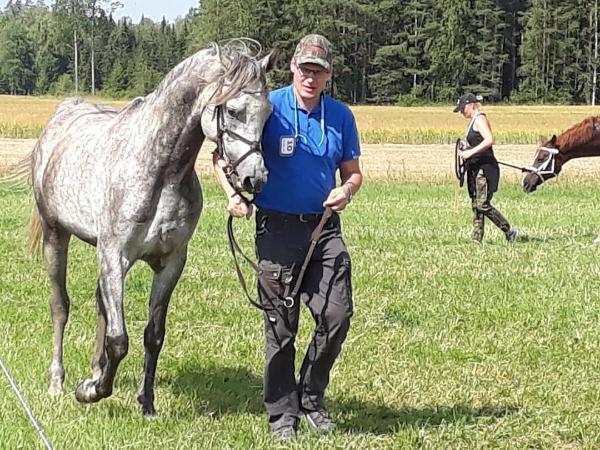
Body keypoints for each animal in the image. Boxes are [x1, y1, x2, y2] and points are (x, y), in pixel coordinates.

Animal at [21, 42, 276, 416]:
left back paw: (95, 371)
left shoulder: (170, 263)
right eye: (233, 110)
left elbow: (153, 335)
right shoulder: (115, 256)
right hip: (57, 237)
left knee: (100, 305)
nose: (253, 178)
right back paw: (58, 382)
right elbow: (119, 340)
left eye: (268, 112)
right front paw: (90, 392)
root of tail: (63, 115)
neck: (161, 170)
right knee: (60, 306)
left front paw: (146, 402)